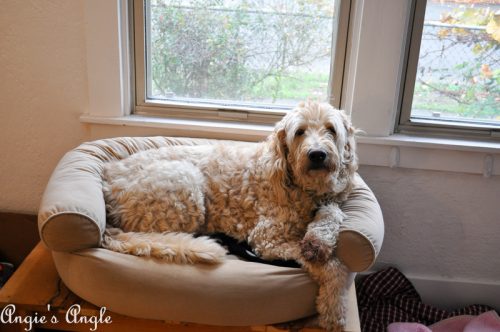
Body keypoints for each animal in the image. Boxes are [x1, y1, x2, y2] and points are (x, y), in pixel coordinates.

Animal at [101, 102, 358, 332]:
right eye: (300, 131)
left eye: (331, 129)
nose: (317, 154)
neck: (300, 186)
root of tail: (108, 188)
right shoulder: (267, 239)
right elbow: (334, 267)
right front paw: (333, 310)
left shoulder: (327, 203)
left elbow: (332, 213)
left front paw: (318, 241)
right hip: (185, 181)